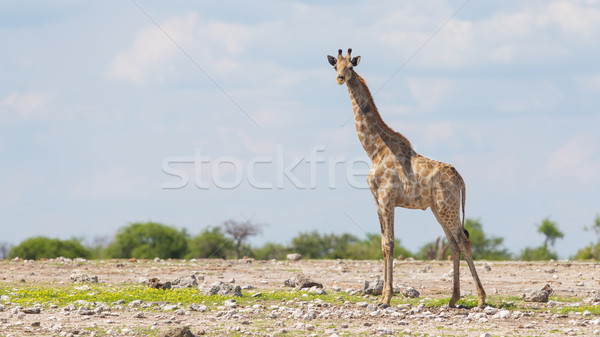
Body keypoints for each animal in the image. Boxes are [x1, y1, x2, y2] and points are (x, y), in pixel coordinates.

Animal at [326, 48, 486, 308]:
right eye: (335, 66)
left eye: (350, 67)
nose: (340, 78)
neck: (375, 150)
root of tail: (461, 179)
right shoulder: (377, 201)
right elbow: (383, 244)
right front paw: (383, 296)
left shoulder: (387, 198)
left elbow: (389, 244)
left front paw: (386, 298)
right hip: (438, 209)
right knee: (453, 243)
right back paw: (453, 299)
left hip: (447, 206)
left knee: (464, 241)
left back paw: (481, 298)